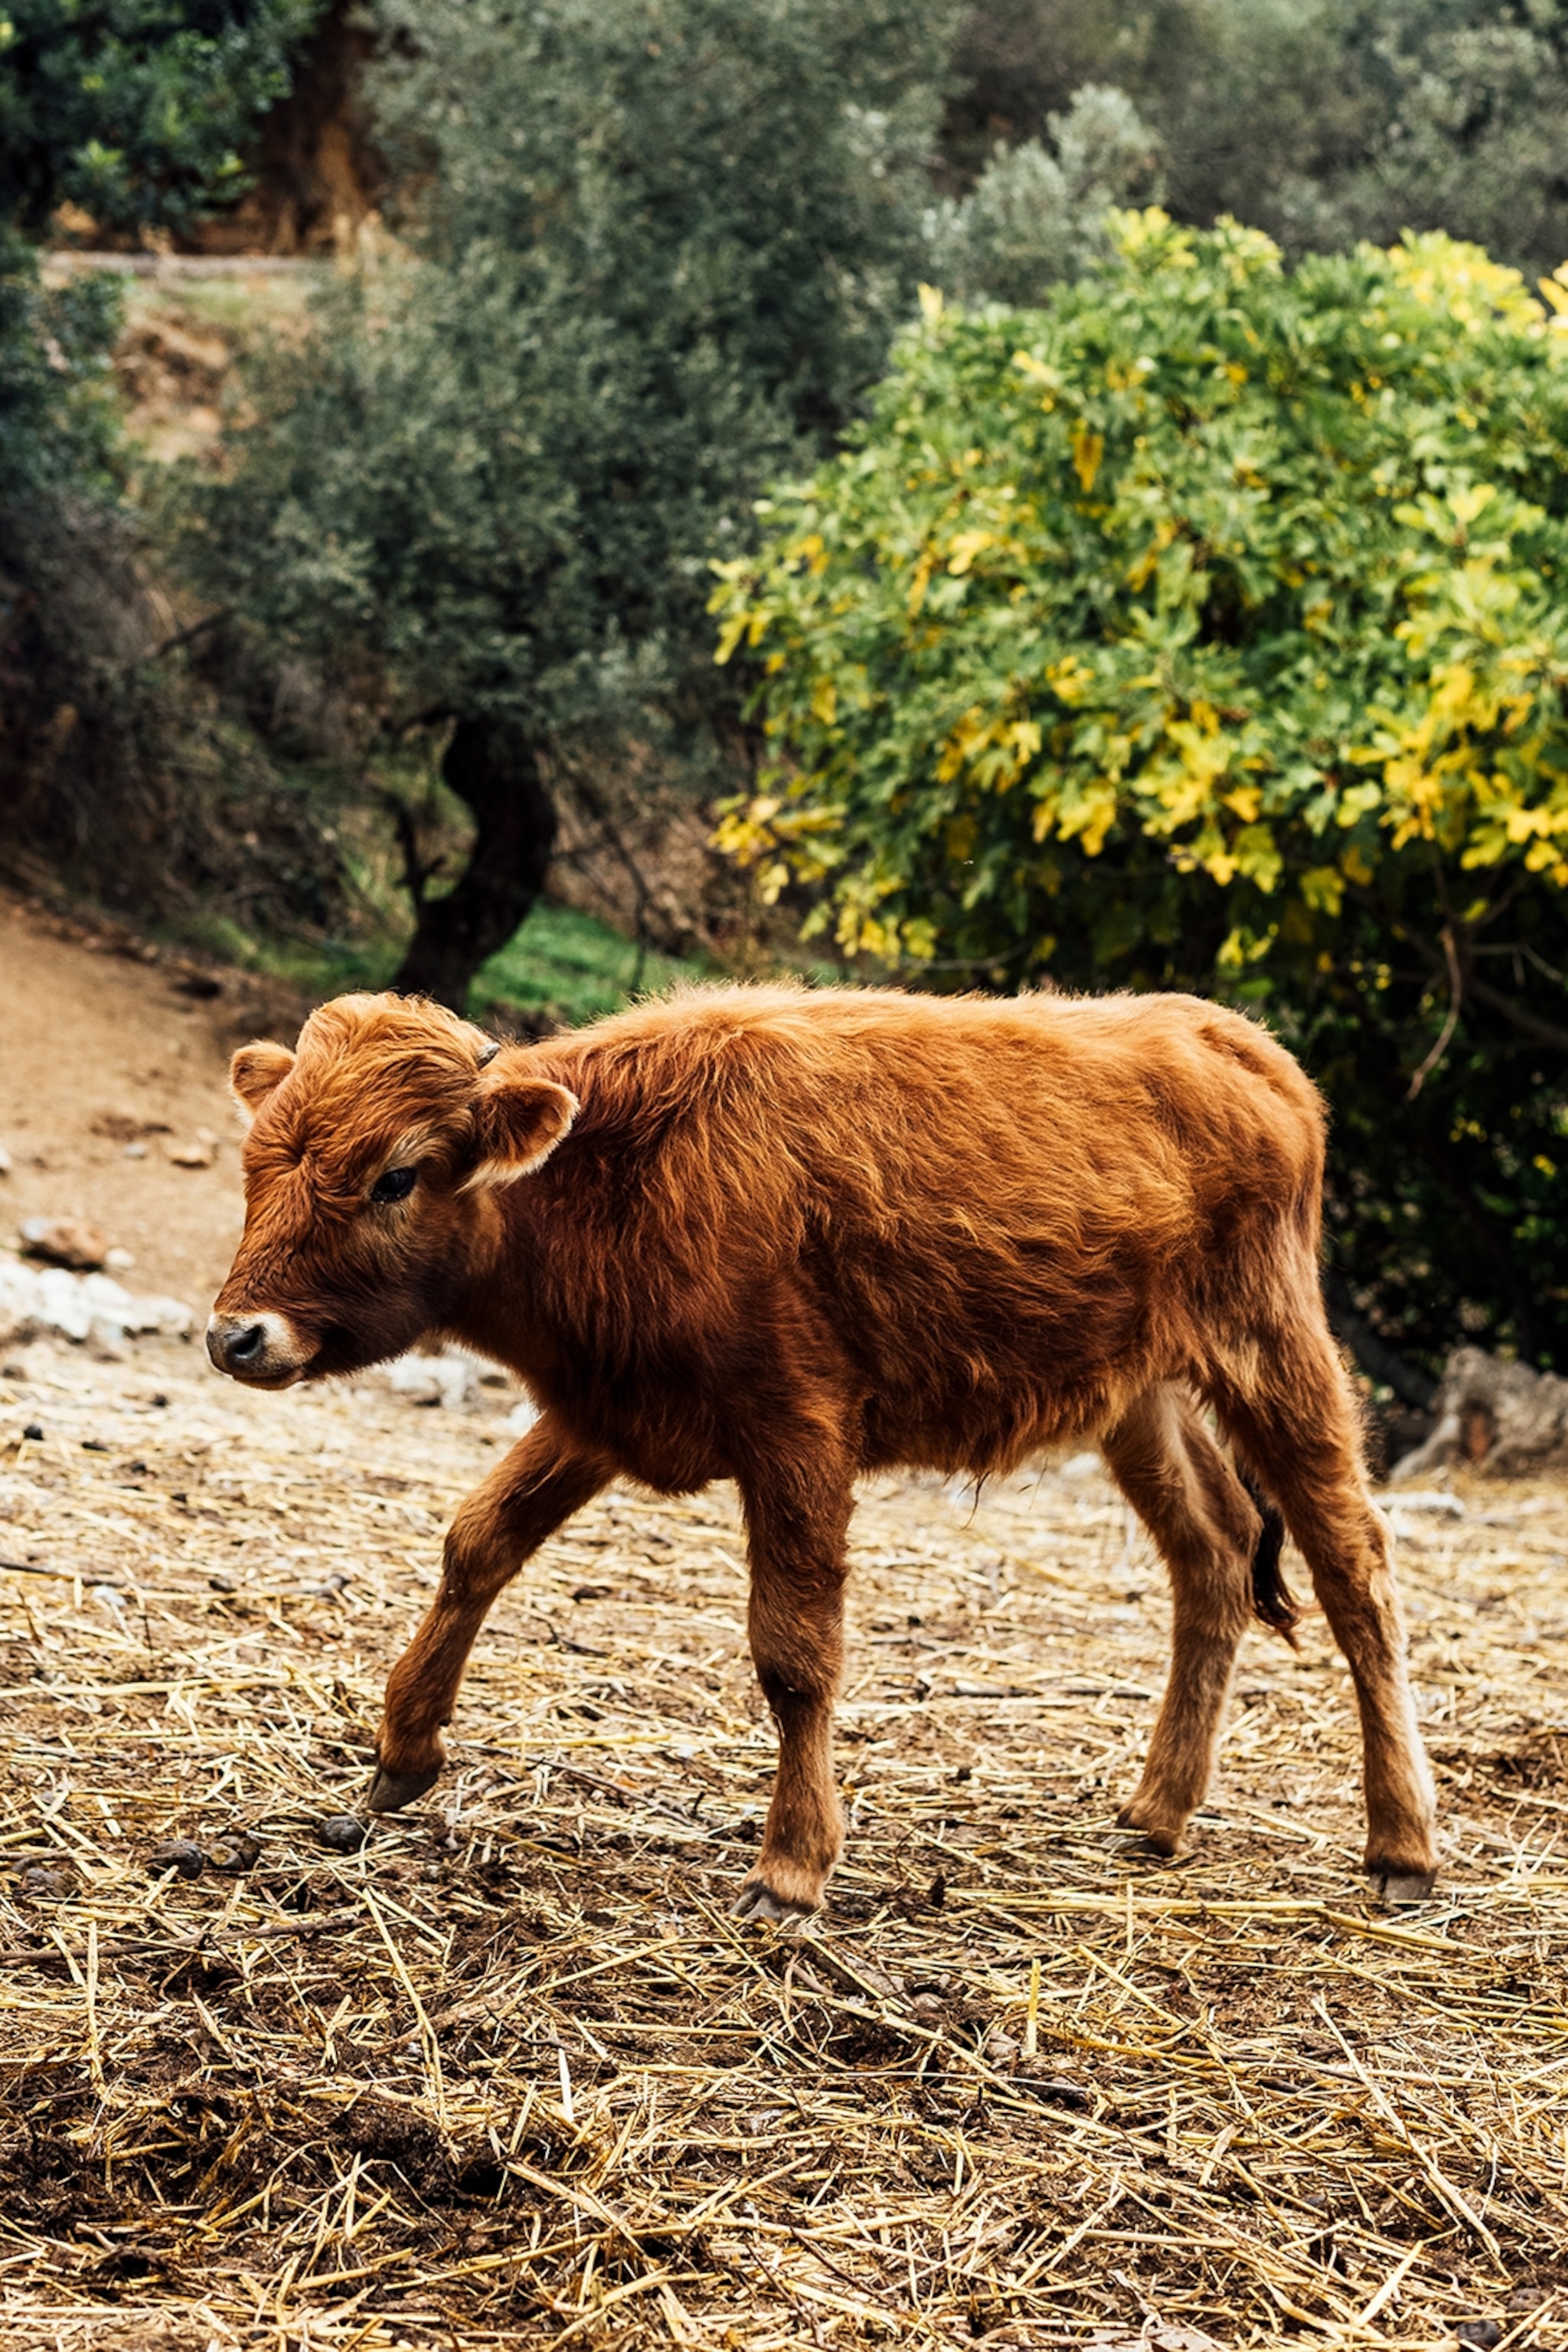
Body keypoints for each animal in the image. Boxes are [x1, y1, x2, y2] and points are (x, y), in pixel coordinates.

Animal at [207, 982, 1437, 1917]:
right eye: (258, 1164)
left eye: (396, 1174)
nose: (237, 1336)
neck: (626, 1166)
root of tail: (1234, 1042)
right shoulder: (604, 1411)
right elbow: (479, 1542)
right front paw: (400, 1756)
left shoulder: (796, 1431)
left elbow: (794, 1650)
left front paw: (791, 1866)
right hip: (1141, 1399)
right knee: (1214, 1552)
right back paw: (1157, 1811)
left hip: (1275, 1356)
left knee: (1354, 1567)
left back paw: (1401, 1847)